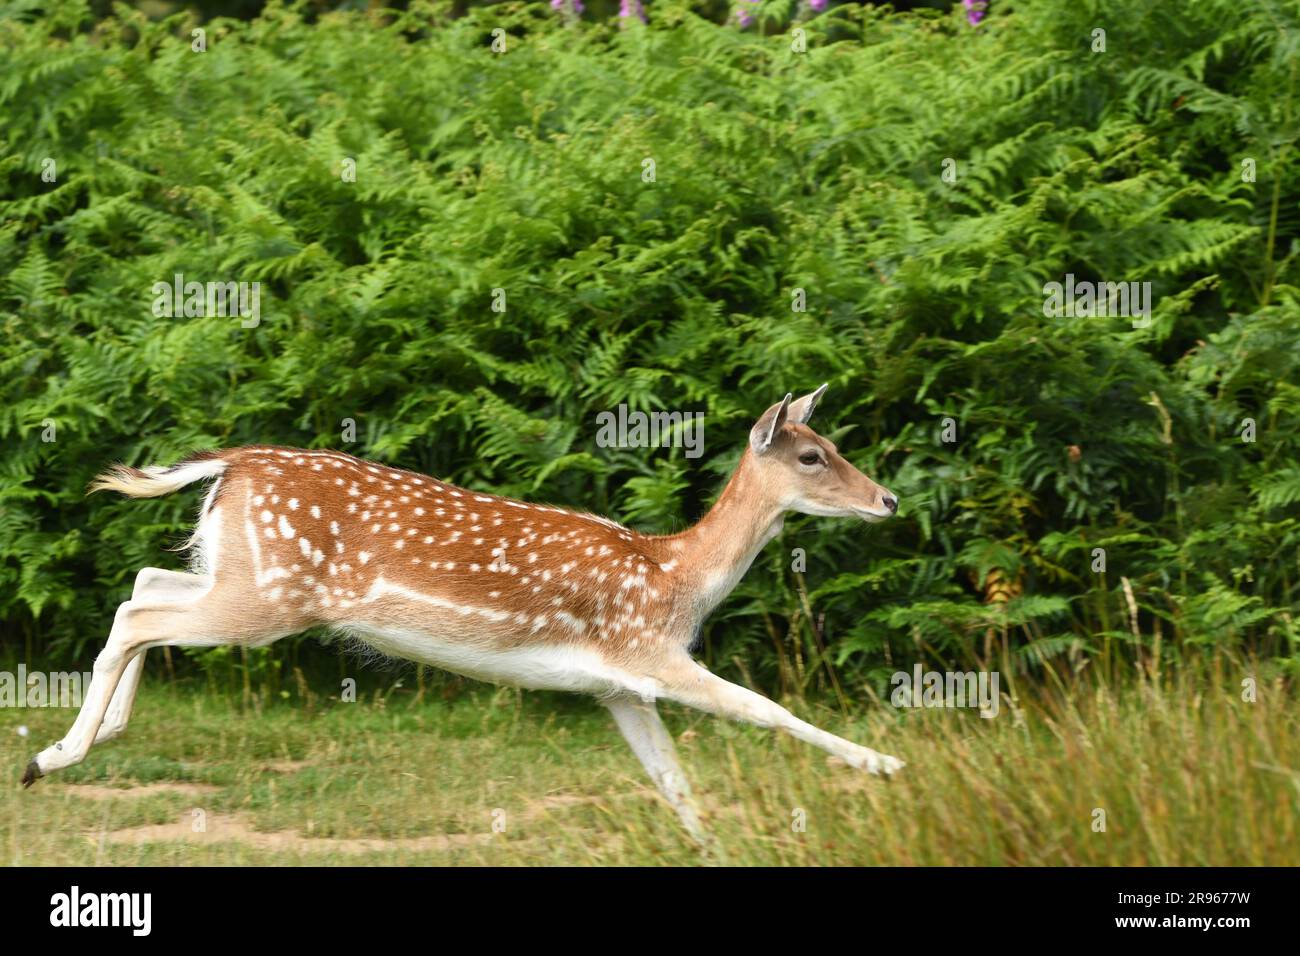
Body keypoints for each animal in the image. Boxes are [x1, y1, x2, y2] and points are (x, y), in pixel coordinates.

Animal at [20, 385, 899, 842]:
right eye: (812, 454)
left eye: (832, 444)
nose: (888, 499)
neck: (676, 574)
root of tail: (230, 463)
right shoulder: (646, 652)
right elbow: (766, 709)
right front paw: (887, 765)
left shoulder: (617, 685)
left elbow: (673, 780)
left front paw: (712, 845)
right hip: (268, 598)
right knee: (138, 614)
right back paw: (53, 756)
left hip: (244, 577)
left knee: (142, 583)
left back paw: (97, 735)